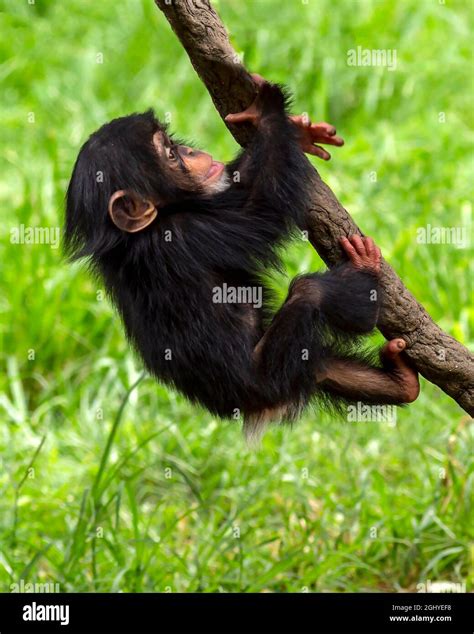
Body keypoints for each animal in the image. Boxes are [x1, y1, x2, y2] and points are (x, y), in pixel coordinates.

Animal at [65, 74, 418, 436]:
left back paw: (399, 381)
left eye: (173, 144)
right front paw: (268, 109)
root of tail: (254, 407)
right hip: (269, 374)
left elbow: (245, 181)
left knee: (322, 367)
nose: (188, 150)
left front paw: (299, 132)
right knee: (309, 292)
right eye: (170, 155)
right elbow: (260, 205)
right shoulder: (188, 232)